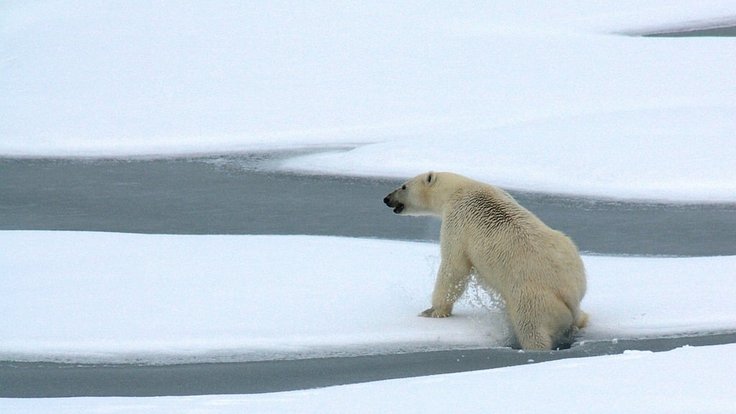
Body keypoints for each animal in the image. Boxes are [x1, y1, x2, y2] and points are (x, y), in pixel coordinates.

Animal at [386, 171, 588, 350]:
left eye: (403, 186)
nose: (386, 199)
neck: (459, 188)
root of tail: (569, 292)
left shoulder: (457, 221)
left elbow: (454, 267)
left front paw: (432, 311)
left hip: (533, 300)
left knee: (531, 329)